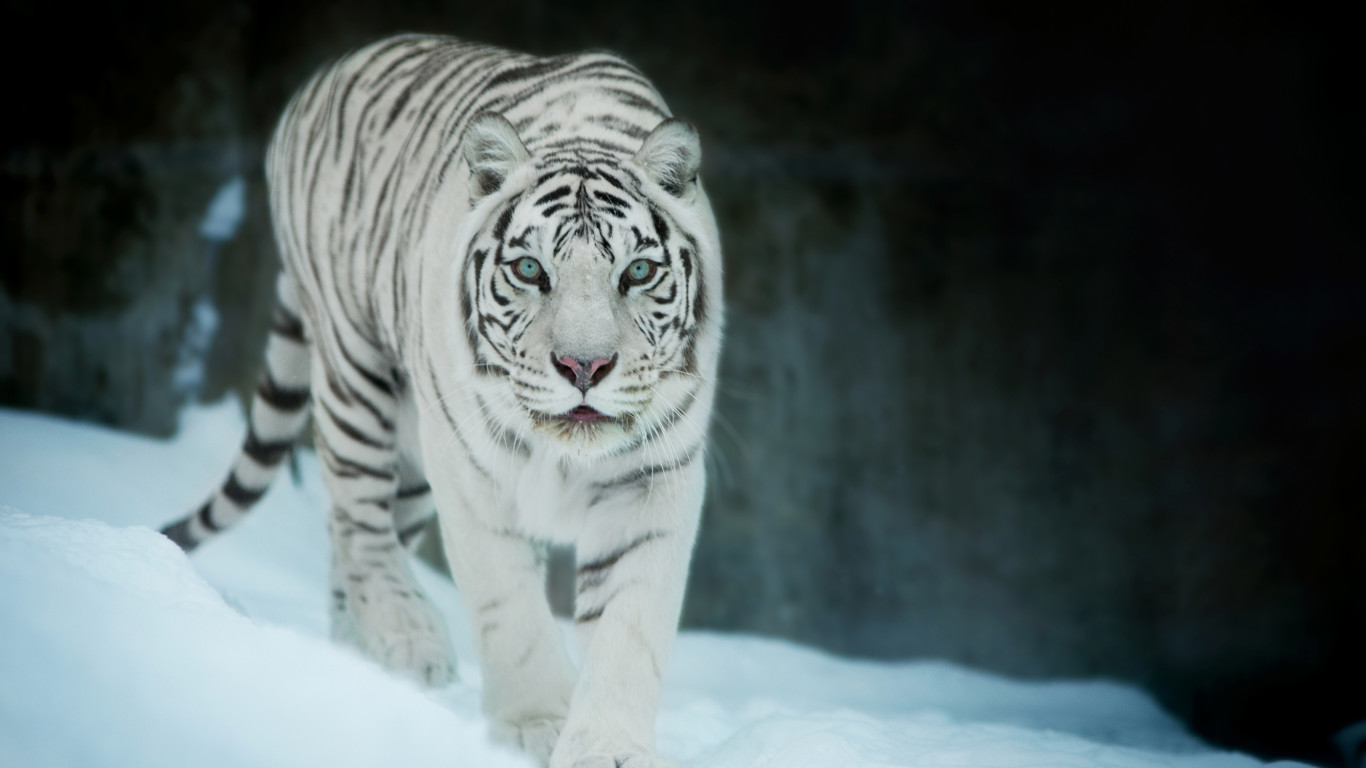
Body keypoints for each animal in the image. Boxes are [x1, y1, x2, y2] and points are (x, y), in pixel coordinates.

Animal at [159, 33, 722, 768]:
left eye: (639, 271)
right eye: (530, 270)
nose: (585, 366)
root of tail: (328, 71)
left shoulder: (653, 476)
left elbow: (629, 624)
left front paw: (606, 749)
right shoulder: (469, 467)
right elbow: (508, 603)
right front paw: (536, 725)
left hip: (410, 453)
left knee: (357, 537)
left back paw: (354, 658)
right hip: (357, 375)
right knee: (358, 521)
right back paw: (407, 638)